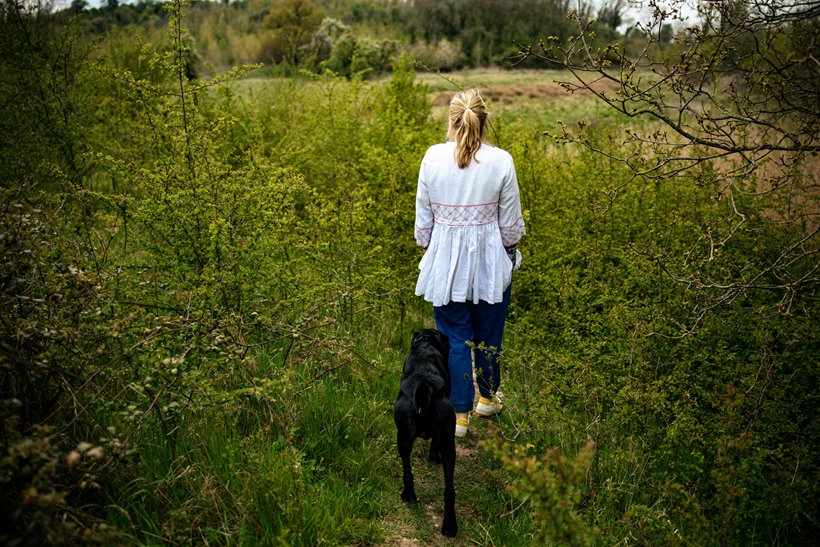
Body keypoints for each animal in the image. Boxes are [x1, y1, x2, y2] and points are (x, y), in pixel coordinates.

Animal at [394, 328, 458, 536]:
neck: (426, 344)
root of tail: (424, 385)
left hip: (403, 437)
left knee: (407, 472)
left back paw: (408, 495)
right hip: (448, 443)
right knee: (449, 490)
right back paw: (450, 526)